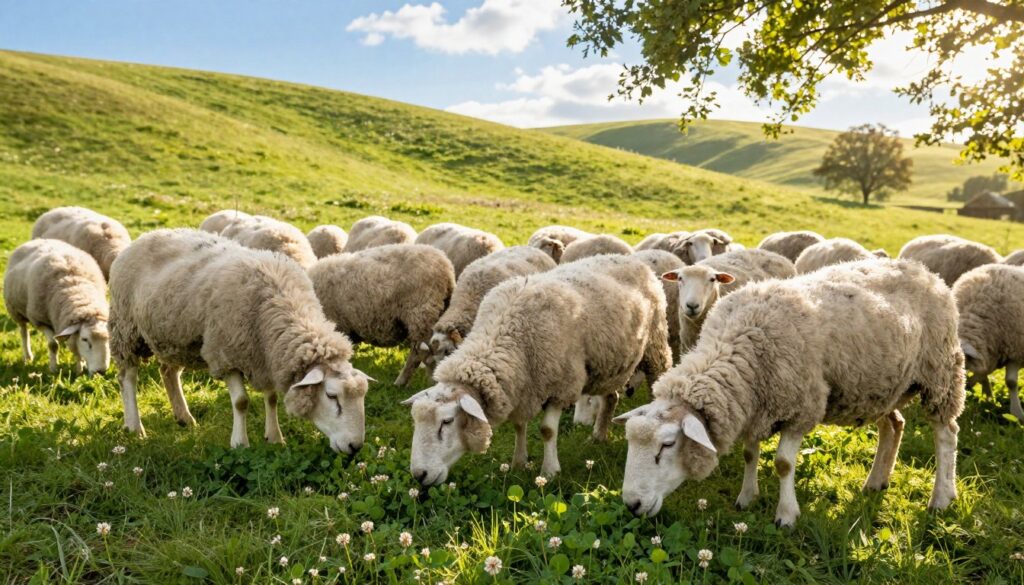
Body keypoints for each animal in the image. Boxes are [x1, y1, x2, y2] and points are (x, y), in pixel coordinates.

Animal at [3, 239, 110, 375]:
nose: (100, 371)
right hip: (15, 310)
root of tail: (37, 240)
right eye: (84, 339)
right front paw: (53, 369)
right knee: (23, 332)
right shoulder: (40, 320)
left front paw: (79, 368)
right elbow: (53, 345)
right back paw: (28, 356)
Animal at [109, 229, 369, 452]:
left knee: (168, 372)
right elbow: (242, 402)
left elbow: (272, 398)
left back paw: (184, 417)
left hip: (174, 337)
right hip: (126, 328)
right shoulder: (226, 355)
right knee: (127, 377)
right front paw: (240, 443)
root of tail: (146, 235)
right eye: (331, 396)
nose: (355, 447)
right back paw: (135, 426)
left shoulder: (265, 356)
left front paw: (274, 437)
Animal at [954, 264, 1024, 421]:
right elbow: (983, 375)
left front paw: (1017, 413)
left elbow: (1011, 382)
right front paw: (988, 399)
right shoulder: (988, 351)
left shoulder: (1016, 351)